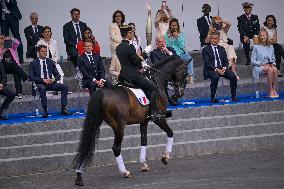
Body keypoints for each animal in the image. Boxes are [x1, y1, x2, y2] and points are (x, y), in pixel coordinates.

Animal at [72, 56, 186, 186]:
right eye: (185, 72)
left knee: (87, 144)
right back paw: (125, 172)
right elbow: (170, 133)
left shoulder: (144, 121)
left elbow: (144, 141)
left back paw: (79, 175)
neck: (156, 79)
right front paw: (165, 157)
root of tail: (101, 92)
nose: (180, 94)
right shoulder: (159, 118)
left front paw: (144, 164)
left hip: (98, 122)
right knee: (116, 148)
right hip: (119, 126)